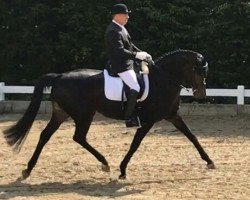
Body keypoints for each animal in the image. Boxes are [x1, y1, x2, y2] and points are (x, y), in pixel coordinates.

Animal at [2, 49, 215, 180]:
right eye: (199, 71)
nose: (201, 95)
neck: (162, 80)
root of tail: (60, 76)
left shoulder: (172, 115)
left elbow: (192, 136)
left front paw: (210, 161)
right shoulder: (148, 121)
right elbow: (135, 144)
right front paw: (122, 170)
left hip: (61, 114)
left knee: (45, 135)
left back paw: (28, 169)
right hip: (84, 114)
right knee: (79, 137)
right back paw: (104, 163)